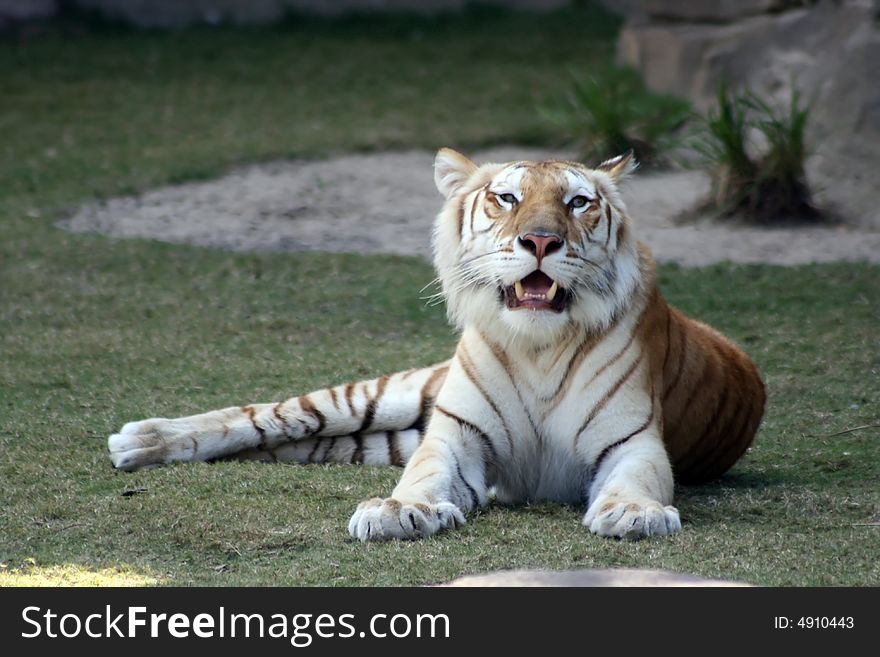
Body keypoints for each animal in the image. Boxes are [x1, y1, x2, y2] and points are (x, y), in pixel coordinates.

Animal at [108, 149, 764, 540]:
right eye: (507, 197)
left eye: (578, 202)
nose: (540, 240)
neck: (538, 348)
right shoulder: (455, 434)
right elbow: (425, 475)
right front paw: (401, 512)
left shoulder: (632, 441)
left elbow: (638, 480)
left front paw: (633, 513)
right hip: (395, 397)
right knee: (276, 416)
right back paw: (141, 439)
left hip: (381, 437)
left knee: (308, 444)